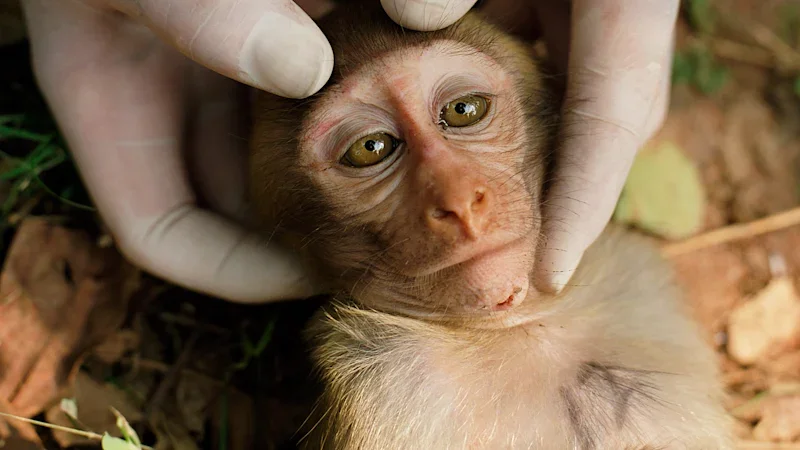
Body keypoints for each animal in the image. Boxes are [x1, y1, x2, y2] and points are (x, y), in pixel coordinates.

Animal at [247, 2, 734, 449]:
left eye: (464, 110)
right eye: (371, 148)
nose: (460, 200)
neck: (524, 328)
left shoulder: (637, 284)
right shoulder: (384, 381)